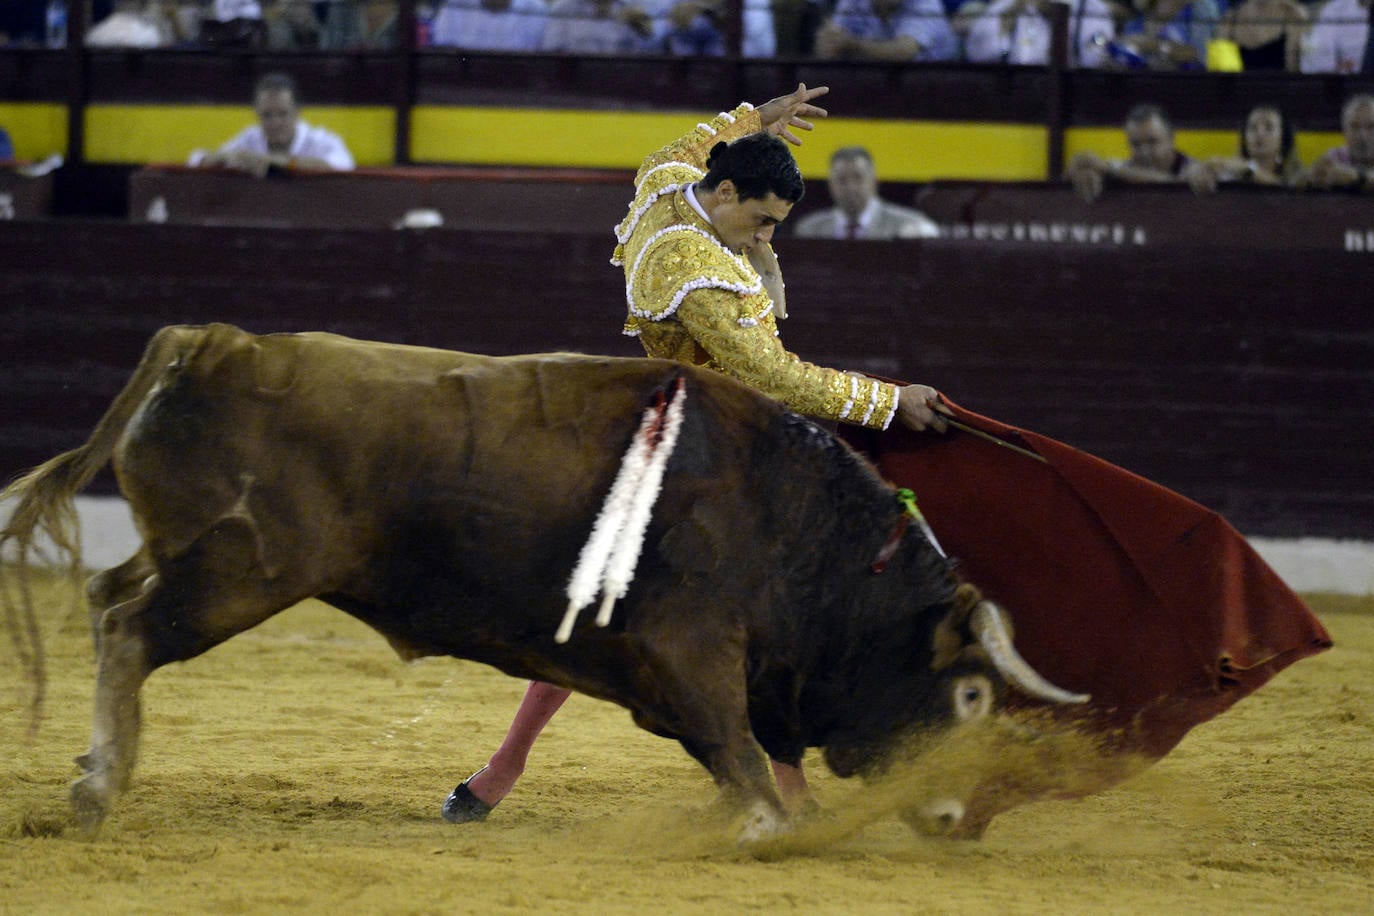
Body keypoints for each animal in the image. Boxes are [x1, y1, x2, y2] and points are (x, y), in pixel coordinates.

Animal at [5, 325, 1088, 840]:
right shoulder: (689, 649)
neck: (798, 521)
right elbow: (739, 752)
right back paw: (97, 788)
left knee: (107, 601)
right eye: (971, 694)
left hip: (191, 551)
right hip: (244, 570)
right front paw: (772, 828)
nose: (958, 816)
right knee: (133, 630)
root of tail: (213, 341)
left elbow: (742, 751)